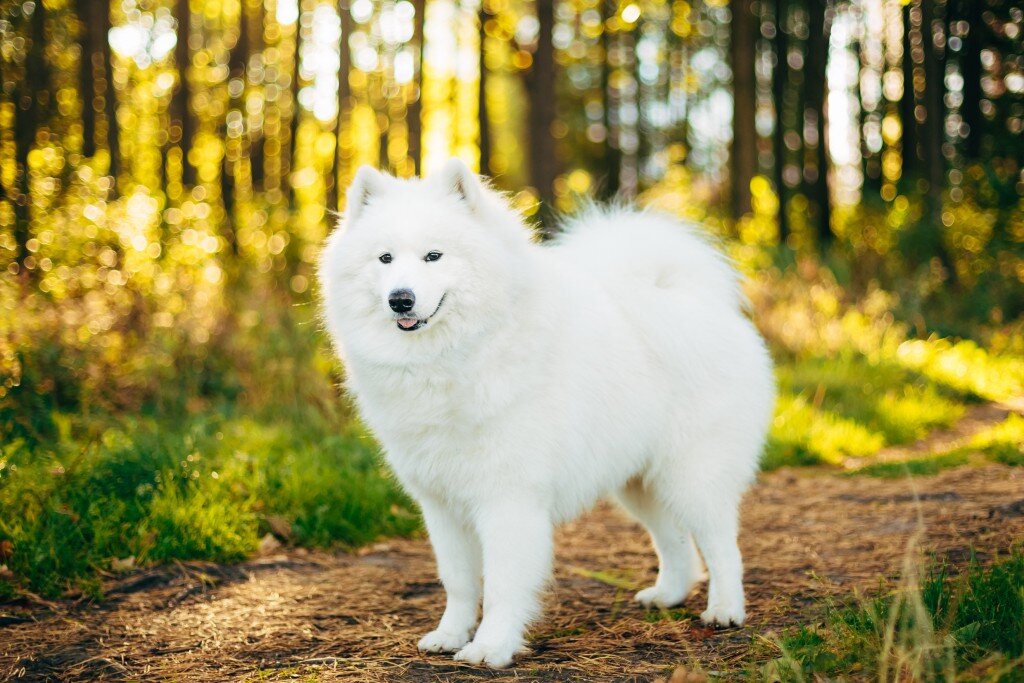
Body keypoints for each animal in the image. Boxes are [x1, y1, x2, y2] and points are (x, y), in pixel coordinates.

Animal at [315, 158, 770, 667]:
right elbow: (458, 582)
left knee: (722, 545)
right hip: (639, 482)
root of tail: (700, 303)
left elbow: (501, 586)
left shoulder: (508, 500)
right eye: (385, 259)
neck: (455, 356)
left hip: (692, 475)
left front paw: (490, 646)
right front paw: (450, 636)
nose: (400, 299)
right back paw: (667, 595)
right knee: (675, 542)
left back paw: (726, 611)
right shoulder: (443, 504)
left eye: (434, 256)